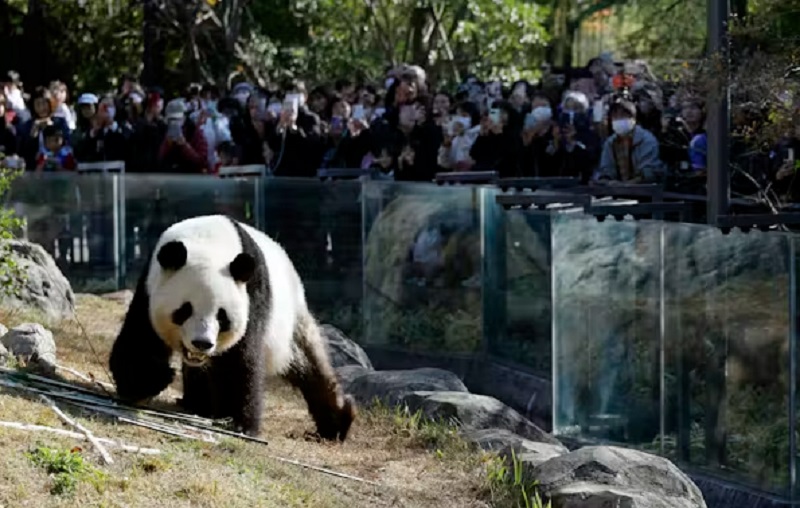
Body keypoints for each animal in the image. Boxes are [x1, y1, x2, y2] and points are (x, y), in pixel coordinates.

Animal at [108, 214, 356, 441]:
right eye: (185, 310)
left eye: (222, 315)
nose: (202, 343)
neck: (209, 241)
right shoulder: (149, 287)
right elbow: (140, 340)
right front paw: (151, 380)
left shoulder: (252, 296)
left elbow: (239, 359)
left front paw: (238, 423)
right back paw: (197, 404)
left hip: (290, 319)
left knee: (310, 363)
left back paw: (336, 424)